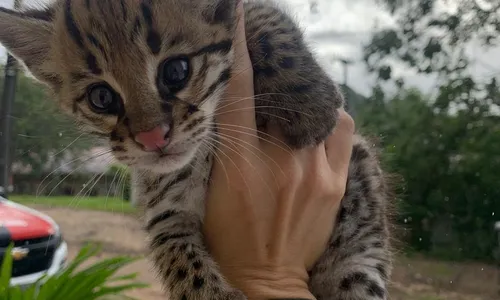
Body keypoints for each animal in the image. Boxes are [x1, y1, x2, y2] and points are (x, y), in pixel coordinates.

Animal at [0, 0, 390, 300]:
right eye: (101, 97)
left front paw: (310, 100)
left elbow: (265, 17)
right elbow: (182, 265)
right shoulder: (165, 215)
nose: (152, 138)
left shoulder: (243, 11)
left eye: (176, 71)